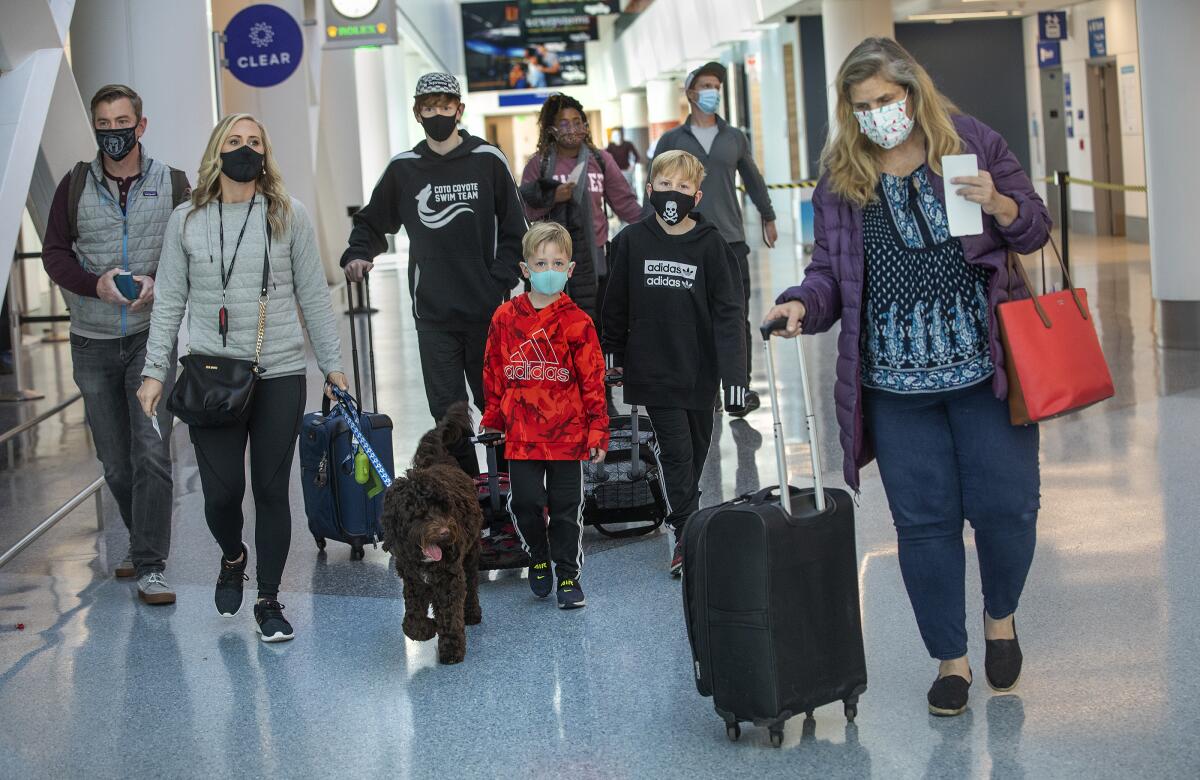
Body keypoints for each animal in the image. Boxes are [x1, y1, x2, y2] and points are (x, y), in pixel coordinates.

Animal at [379, 400, 482, 662]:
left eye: (445, 508)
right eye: (419, 513)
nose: (445, 533)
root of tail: (441, 459)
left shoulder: (449, 578)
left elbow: (450, 614)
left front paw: (452, 648)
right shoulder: (413, 581)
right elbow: (412, 621)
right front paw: (426, 628)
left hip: (471, 555)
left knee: (472, 586)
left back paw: (472, 613)